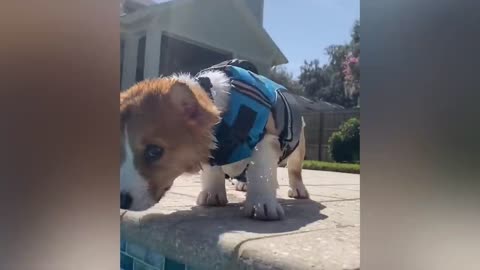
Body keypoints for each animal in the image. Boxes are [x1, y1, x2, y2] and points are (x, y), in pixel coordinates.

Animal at [120, 60, 308, 219]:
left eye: (154, 151)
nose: (121, 201)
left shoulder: (266, 139)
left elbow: (261, 170)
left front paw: (262, 203)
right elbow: (212, 170)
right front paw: (213, 194)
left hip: (298, 148)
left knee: (294, 169)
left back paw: (298, 189)